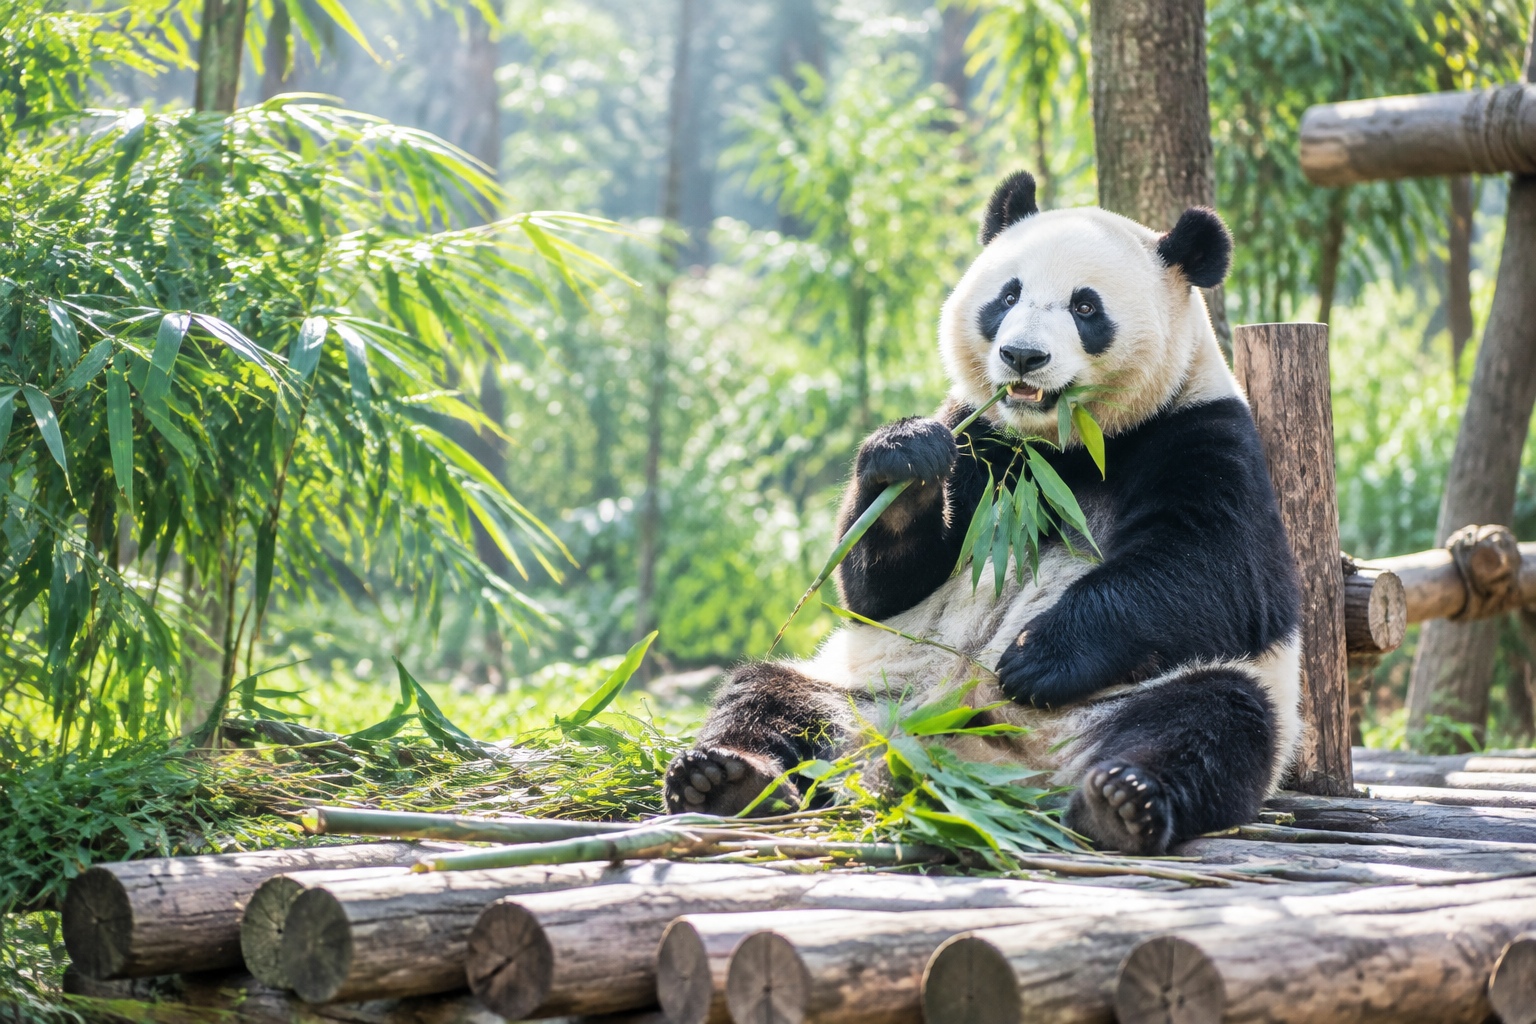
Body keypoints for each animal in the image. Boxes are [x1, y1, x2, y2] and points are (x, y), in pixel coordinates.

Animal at [663, 170, 1302, 856]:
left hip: (1135, 700)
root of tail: (980, 762)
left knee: (1214, 718)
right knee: (768, 697)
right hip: (871, 693)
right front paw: (905, 460)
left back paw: (1122, 802)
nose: (1022, 356)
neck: (1066, 447)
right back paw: (724, 779)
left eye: (1085, 307)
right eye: (1008, 294)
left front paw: (1036, 656)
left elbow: (1215, 574)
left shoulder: (1201, 432)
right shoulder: (983, 438)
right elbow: (879, 590)